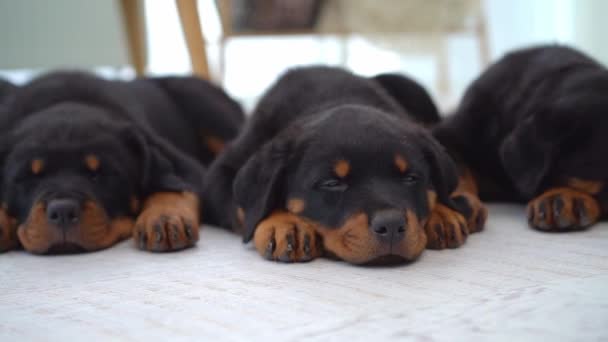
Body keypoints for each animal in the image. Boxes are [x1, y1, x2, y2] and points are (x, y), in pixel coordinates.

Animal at [0, 71, 242, 254]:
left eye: (100, 174)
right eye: (27, 178)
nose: (63, 212)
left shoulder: (186, 165)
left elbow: (173, 184)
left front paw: (164, 217)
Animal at [204, 67, 484, 264]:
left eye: (411, 178)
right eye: (331, 183)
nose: (392, 225)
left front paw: (443, 213)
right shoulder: (222, 172)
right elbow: (244, 208)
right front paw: (284, 223)